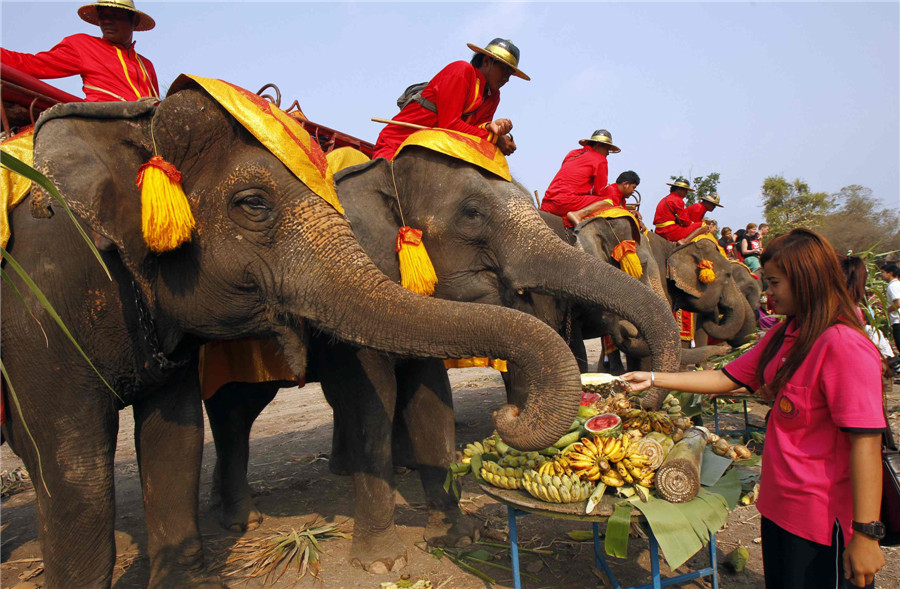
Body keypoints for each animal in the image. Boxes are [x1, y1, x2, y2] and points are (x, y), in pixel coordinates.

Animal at [206, 145, 684, 572]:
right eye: (472, 214)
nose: (635, 398)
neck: (382, 170)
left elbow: (429, 396)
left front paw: (459, 537)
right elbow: (371, 398)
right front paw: (382, 563)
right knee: (236, 411)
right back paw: (240, 521)